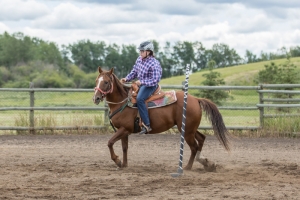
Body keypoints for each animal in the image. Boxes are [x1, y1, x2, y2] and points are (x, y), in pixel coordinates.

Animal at [92, 67, 231, 170]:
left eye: (106, 82)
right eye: (96, 80)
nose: (96, 98)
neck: (123, 102)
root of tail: (196, 99)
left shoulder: (124, 129)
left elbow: (110, 142)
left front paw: (117, 160)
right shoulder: (124, 131)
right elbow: (124, 147)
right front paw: (123, 164)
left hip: (187, 131)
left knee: (194, 146)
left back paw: (188, 166)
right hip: (190, 128)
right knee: (201, 139)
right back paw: (205, 162)